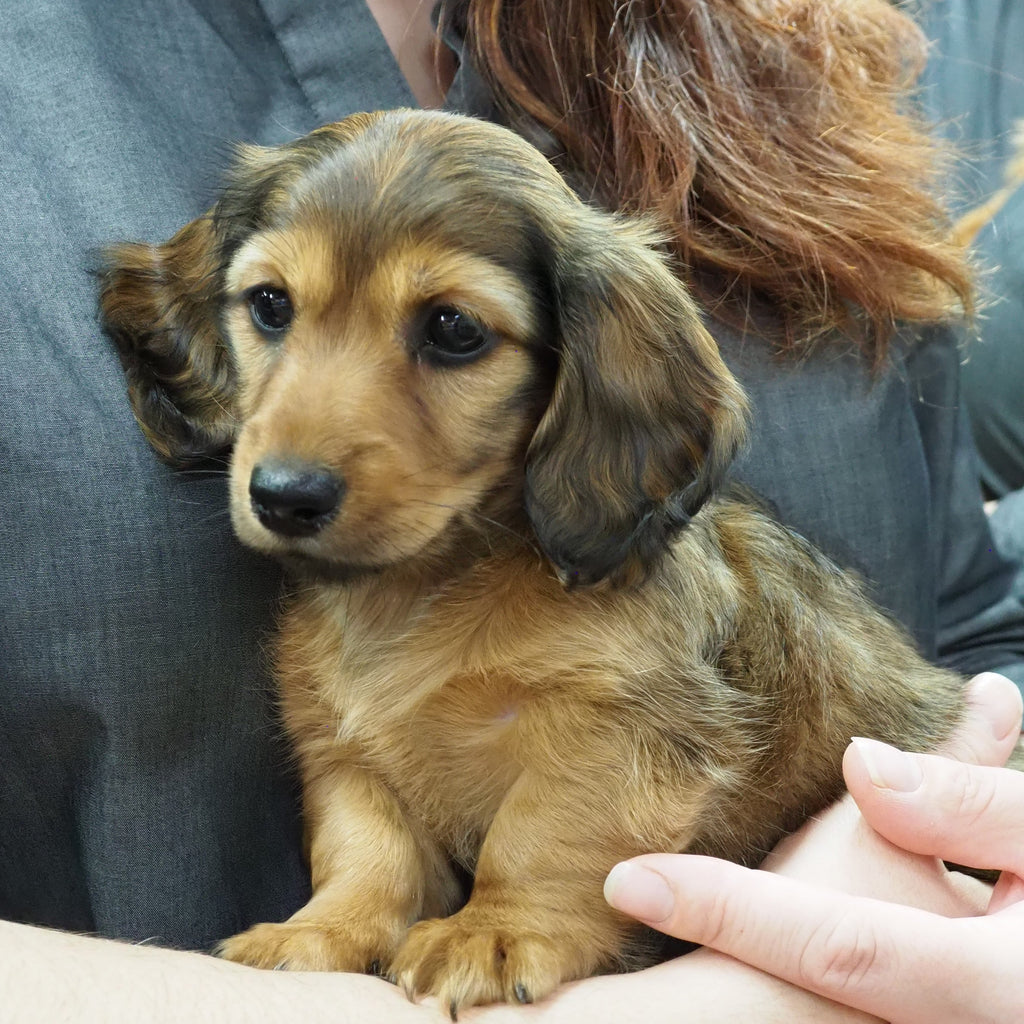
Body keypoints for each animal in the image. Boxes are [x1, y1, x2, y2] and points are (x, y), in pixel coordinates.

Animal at [97, 108, 966, 1011]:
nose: (283, 497)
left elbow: (544, 832)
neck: (426, 588)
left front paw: (496, 929)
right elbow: (366, 850)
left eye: (453, 329)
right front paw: (320, 932)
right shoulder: (342, 748)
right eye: (270, 304)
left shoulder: (618, 730)